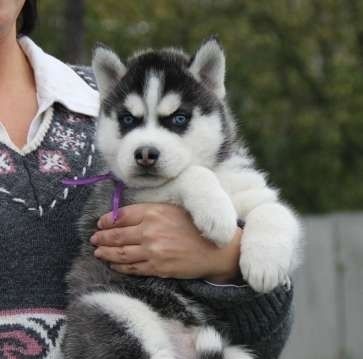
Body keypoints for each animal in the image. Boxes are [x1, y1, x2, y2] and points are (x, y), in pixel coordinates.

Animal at [62, 38, 302, 359]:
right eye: (128, 119)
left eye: (179, 118)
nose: (145, 154)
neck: (217, 172)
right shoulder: (125, 198)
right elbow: (189, 174)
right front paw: (217, 214)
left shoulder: (253, 191)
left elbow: (274, 212)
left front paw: (266, 264)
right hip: (112, 307)